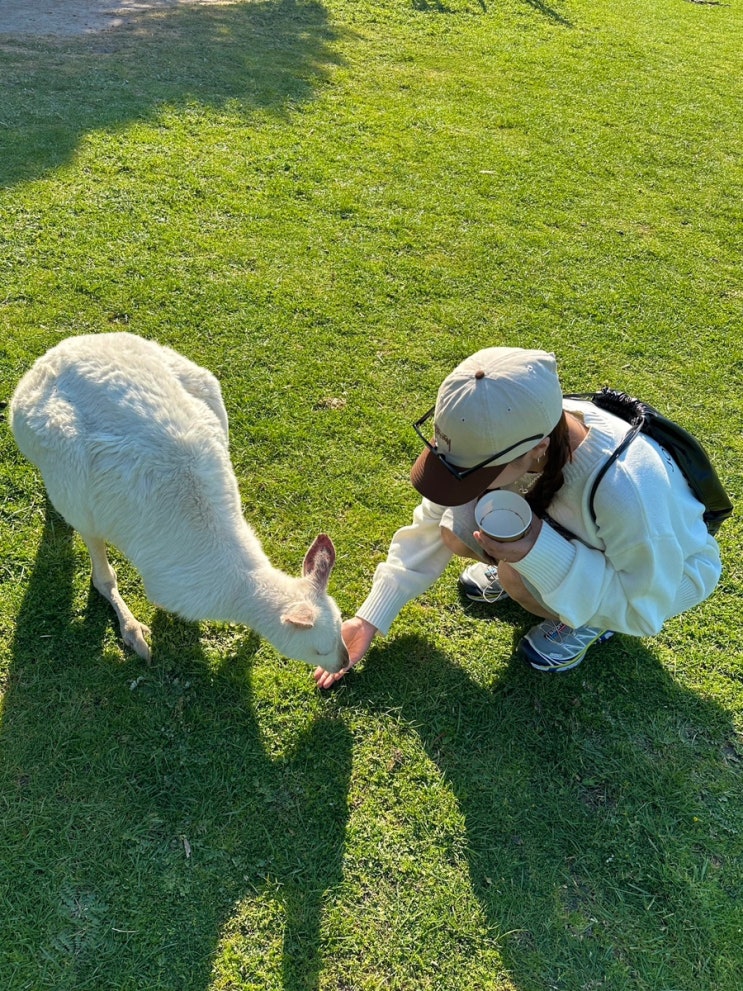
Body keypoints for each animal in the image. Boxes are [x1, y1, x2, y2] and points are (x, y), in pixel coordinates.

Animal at [9, 332, 350, 673]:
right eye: (320, 651)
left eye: (341, 629)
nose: (345, 663)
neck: (242, 577)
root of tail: (55, 354)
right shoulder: (171, 584)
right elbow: (114, 583)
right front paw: (140, 633)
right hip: (67, 464)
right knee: (92, 549)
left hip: (200, 383)